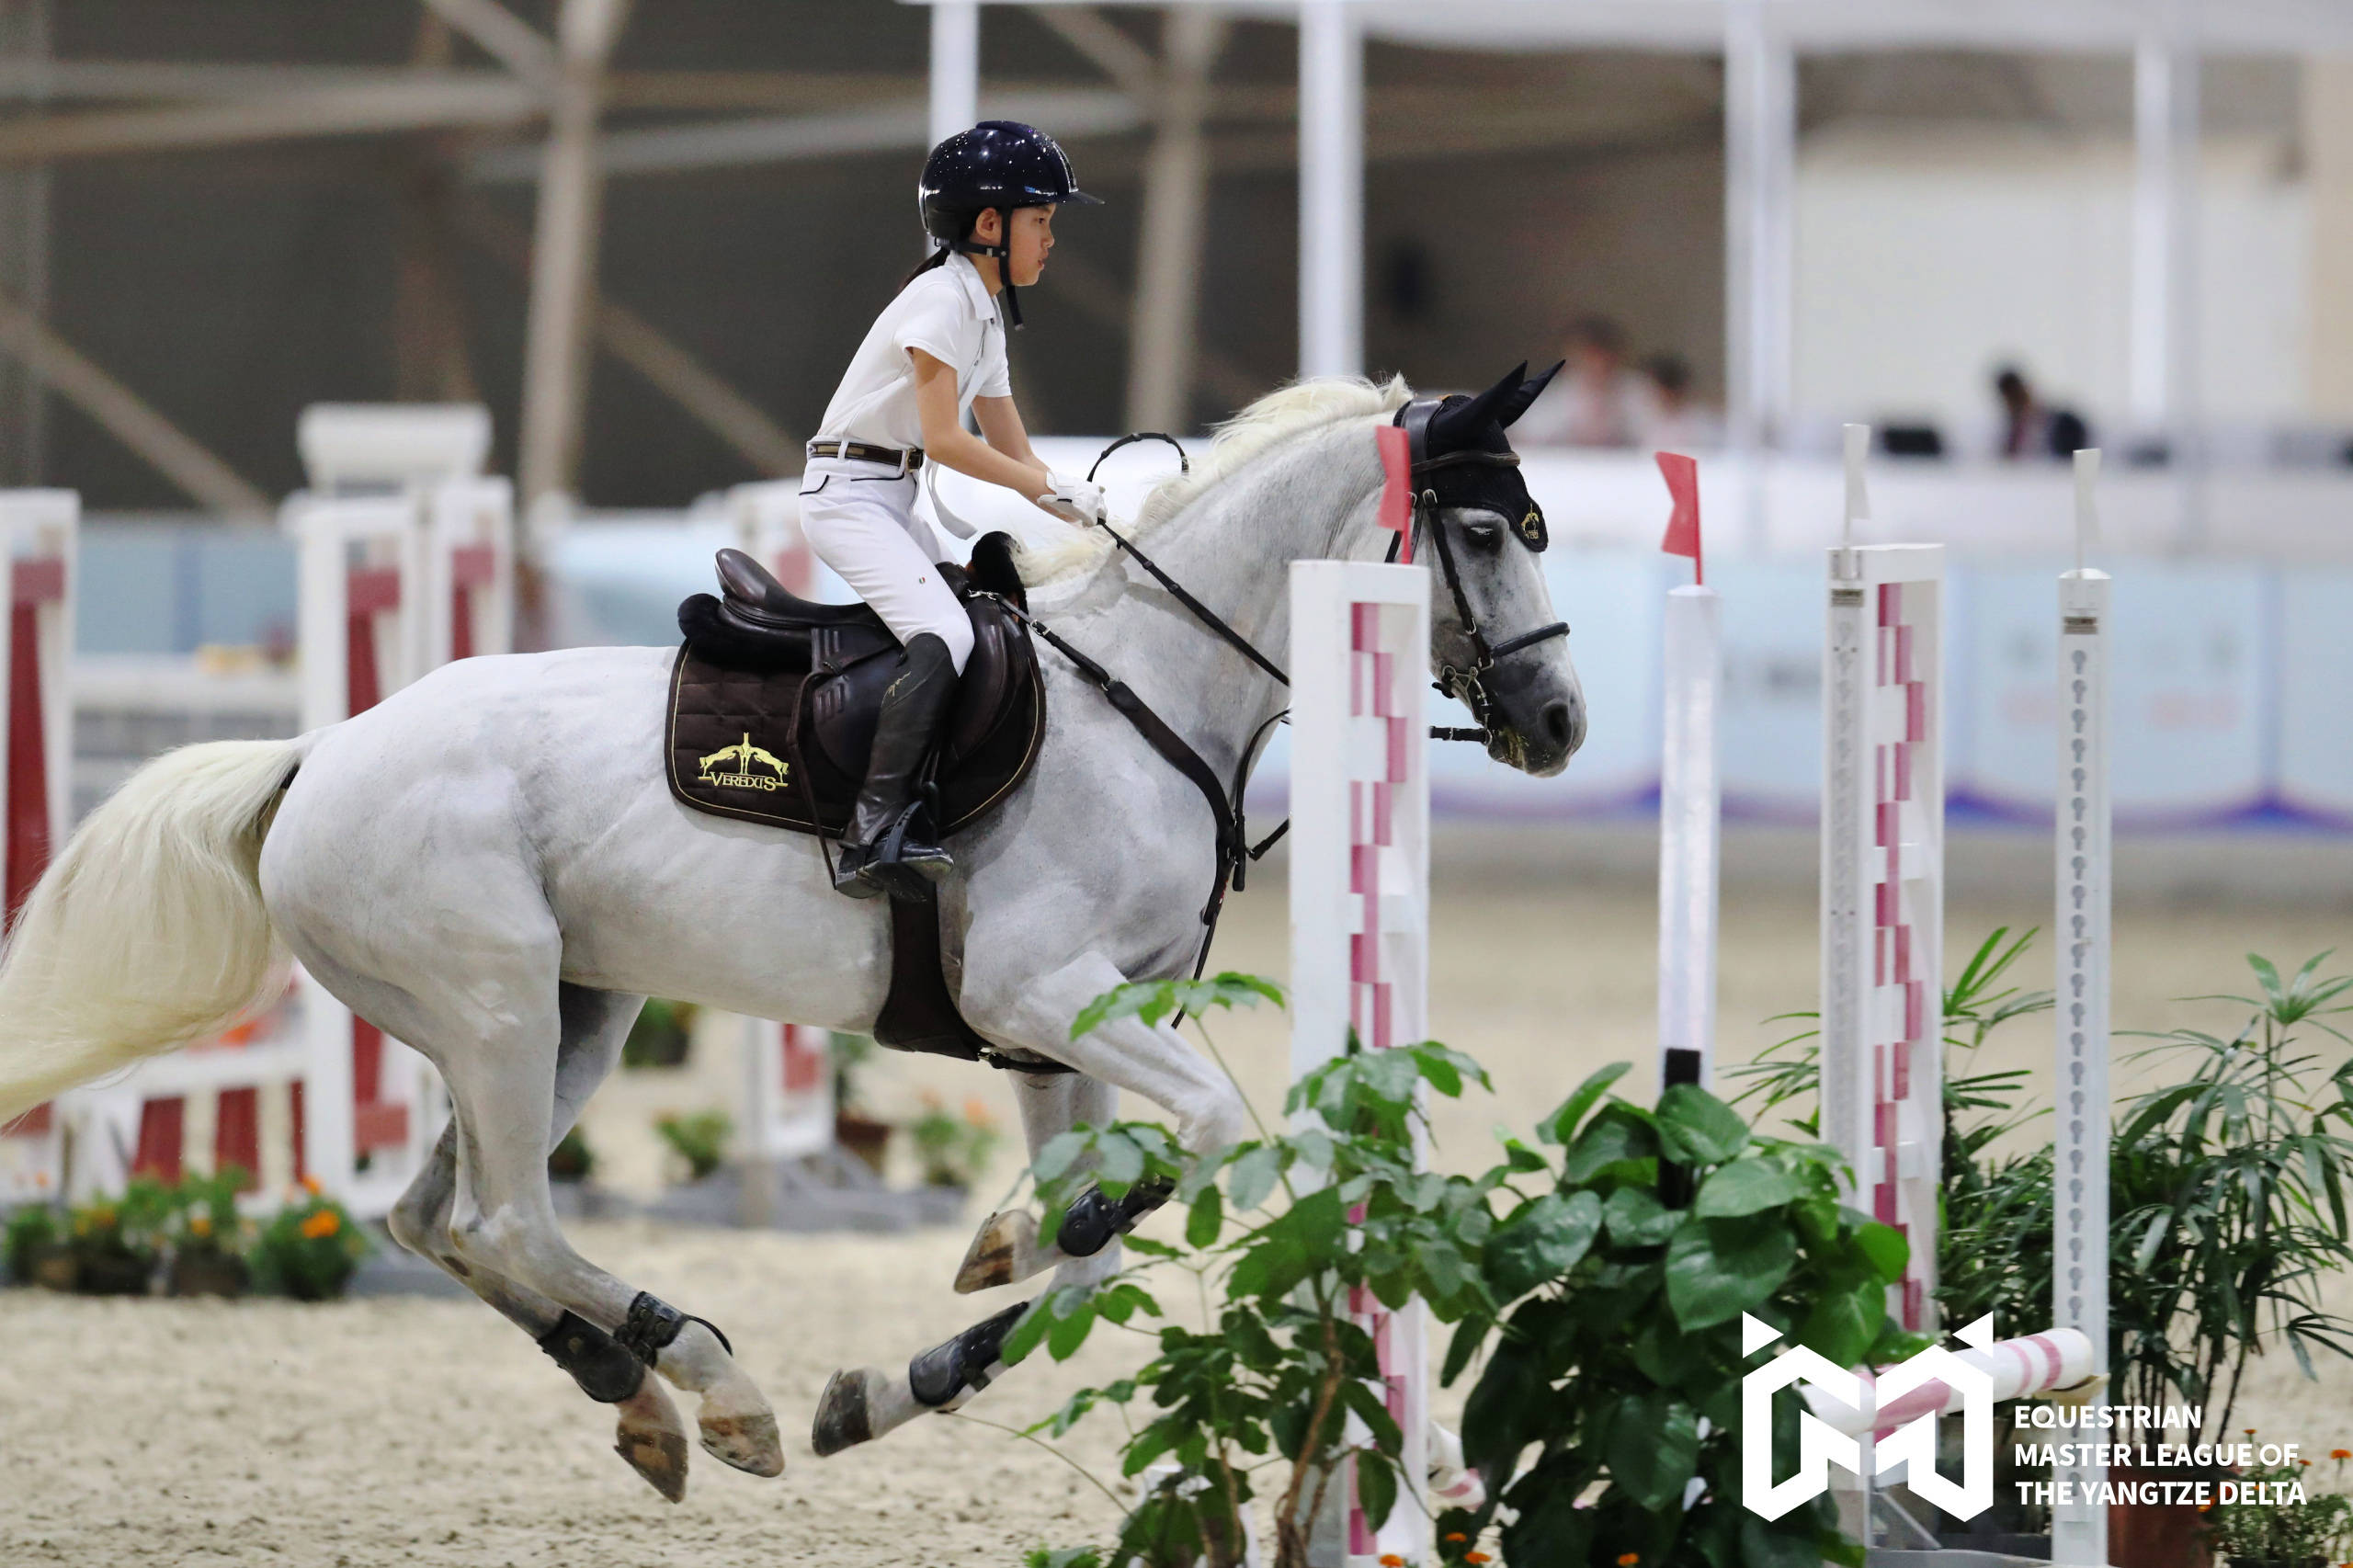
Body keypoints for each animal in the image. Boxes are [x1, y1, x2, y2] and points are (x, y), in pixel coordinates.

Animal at [0, 366, 1584, 1503]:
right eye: (1486, 531)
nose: (1561, 723)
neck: (1151, 692)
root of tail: (321, 751)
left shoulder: (1056, 1036)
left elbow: (1090, 1256)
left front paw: (917, 1355)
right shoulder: (1042, 993)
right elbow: (1185, 1150)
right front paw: (989, 1264)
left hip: (573, 1015)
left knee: (431, 1216)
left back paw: (642, 1398)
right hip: (500, 1005)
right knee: (505, 1216)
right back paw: (710, 1378)